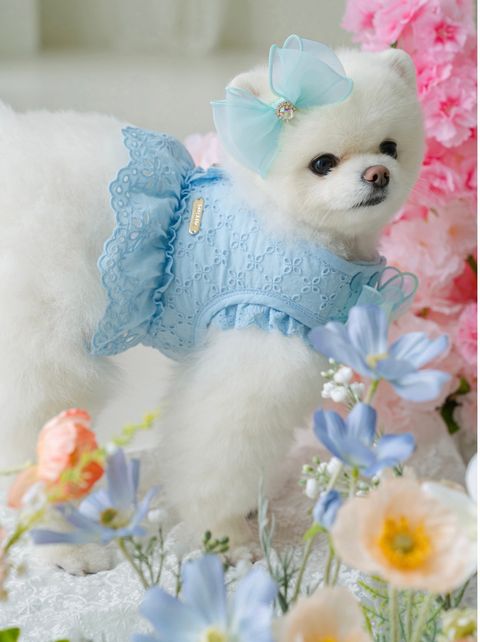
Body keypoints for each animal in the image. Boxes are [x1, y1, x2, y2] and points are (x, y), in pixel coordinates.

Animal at [0, 38, 424, 568]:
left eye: (390, 147)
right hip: (44, 341)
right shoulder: (256, 345)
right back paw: (67, 547)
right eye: (323, 163)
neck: (291, 226)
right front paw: (225, 538)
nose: (377, 173)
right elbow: (220, 456)